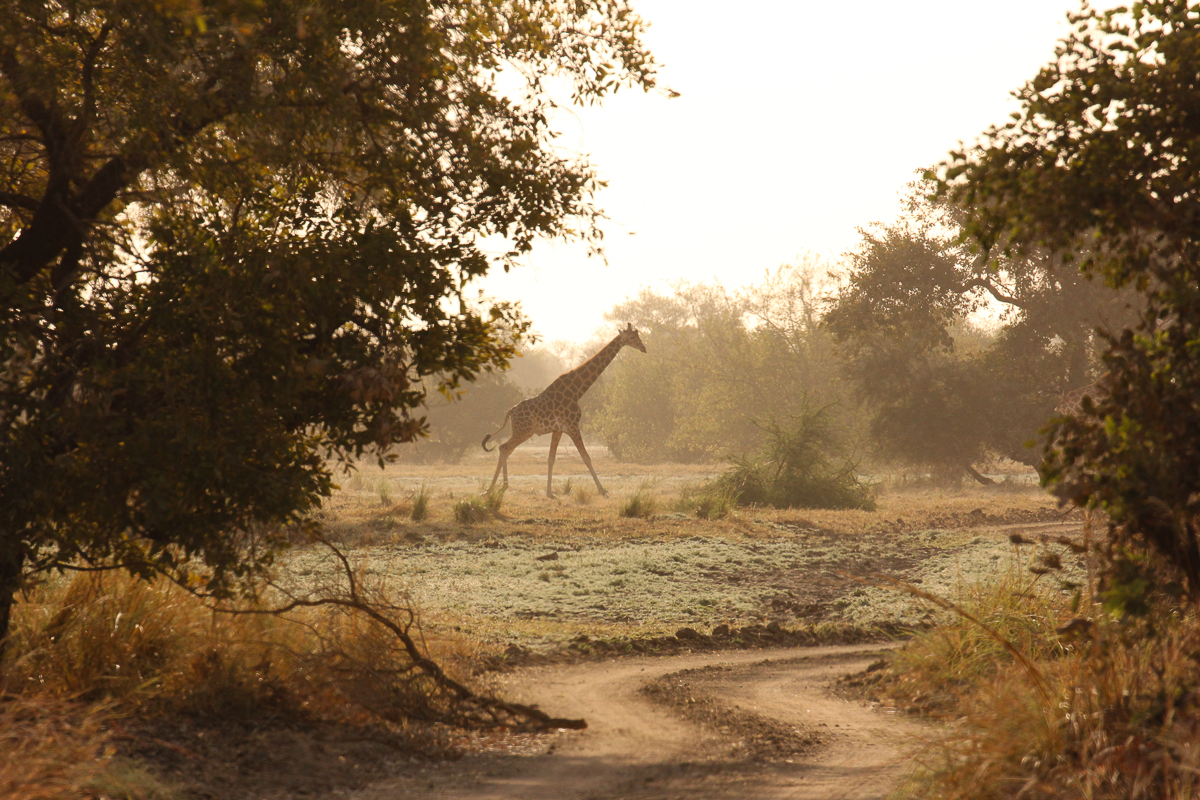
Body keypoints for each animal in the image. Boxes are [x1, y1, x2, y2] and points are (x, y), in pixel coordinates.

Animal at [482, 321, 648, 496]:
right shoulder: (573, 426)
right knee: (504, 448)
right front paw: (602, 490)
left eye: (638, 335)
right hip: (524, 431)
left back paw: (497, 487)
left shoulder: (558, 429)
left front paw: (550, 492)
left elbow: (551, 458)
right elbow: (586, 457)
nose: (643, 348)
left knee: (506, 449)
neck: (577, 391)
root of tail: (510, 412)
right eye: (632, 337)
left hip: (519, 431)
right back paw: (495, 488)